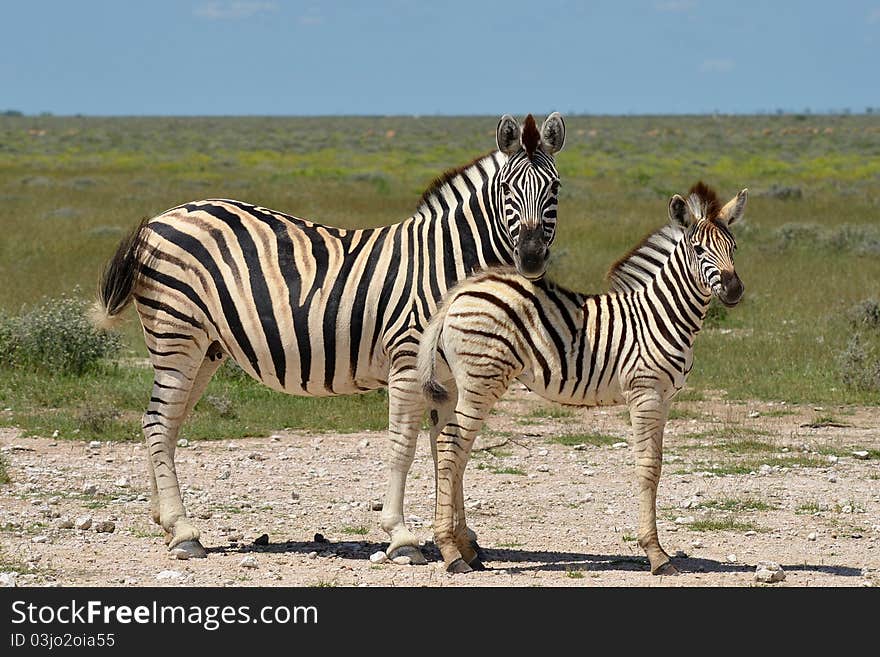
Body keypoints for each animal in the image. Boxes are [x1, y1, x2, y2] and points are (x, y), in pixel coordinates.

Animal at [93, 113, 568, 560]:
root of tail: (160, 219)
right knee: (158, 421)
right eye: (506, 189)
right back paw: (184, 532)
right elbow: (404, 445)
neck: (446, 262)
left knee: (164, 423)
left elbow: (451, 449)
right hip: (176, 333)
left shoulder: (447, 378)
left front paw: (462, 539)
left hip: (206, 348)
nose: (530, 259)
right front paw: (402, 538)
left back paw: (166, 523)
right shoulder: (408, 359)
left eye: (556, 188)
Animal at [416, 182, 744, 572]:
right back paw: (451, 553)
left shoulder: (665, 398)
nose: (735, 290)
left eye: (734, 248)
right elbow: (647, 466)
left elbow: (659, 464)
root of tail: (459, 293)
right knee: (451, 447)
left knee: (454, 451)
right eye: (698, 249)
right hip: (481, 380)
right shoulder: (645, 392)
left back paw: (465, 548)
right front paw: (656, 554)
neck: (662, 314)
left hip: (458, 383)